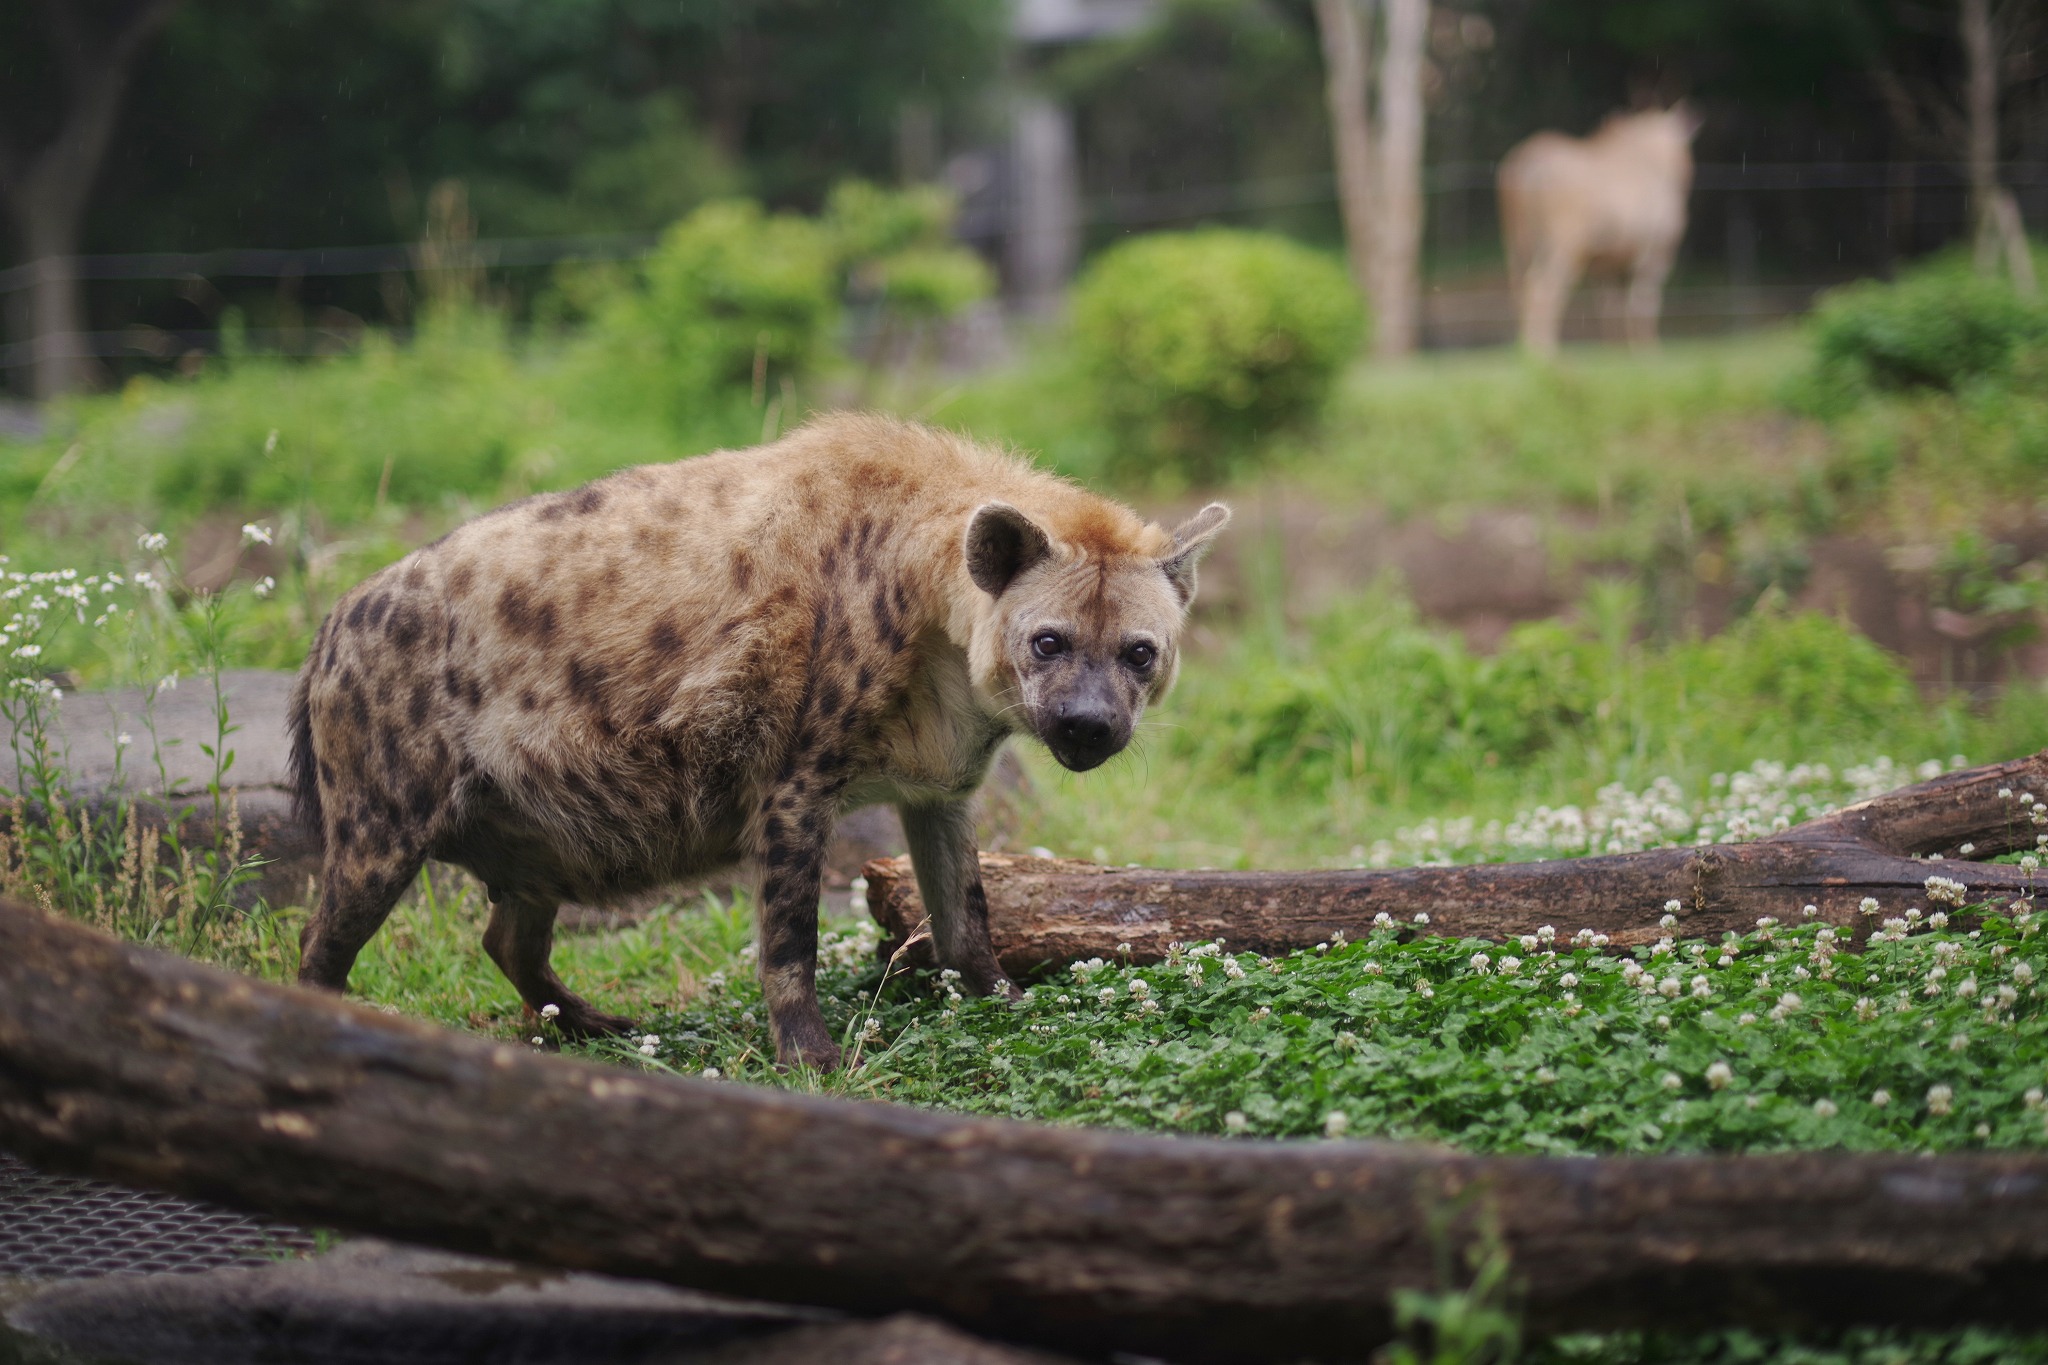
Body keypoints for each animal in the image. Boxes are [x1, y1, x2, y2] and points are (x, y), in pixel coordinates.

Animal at [1499, 107, 1703, 358]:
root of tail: (1525, 162)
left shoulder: (1607, 265)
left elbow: (1610, 304)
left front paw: (1615, 349)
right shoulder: (1654, 255)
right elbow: (1643, 302)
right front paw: (1647, 348)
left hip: (1517, 246)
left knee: (1520, 289)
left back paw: (1524, 347)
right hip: (1564, 245)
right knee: (1543, 287)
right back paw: (1542, 349)